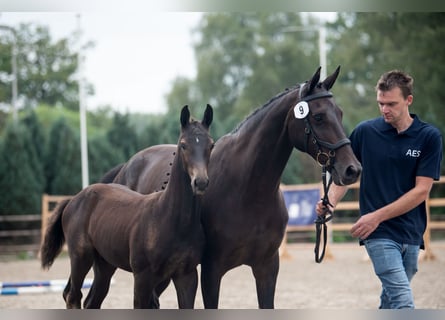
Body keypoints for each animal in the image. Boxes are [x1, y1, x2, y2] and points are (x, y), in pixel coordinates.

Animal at [40, 104, 214, 308]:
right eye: (183, 145)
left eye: (211, 145)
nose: (200, 182)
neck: (172, 219)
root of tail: (75, 198)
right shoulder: (142, 277)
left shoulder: (187, 276)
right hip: (80, 257)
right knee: (72, 295)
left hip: (104, 264)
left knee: (92, 300)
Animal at [107, 67, 360, 308]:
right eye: (318, 117)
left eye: (340, 113)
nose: (352, 169)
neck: (248, 191)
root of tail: (127, 165)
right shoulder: (211, 271)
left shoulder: (267, 267)